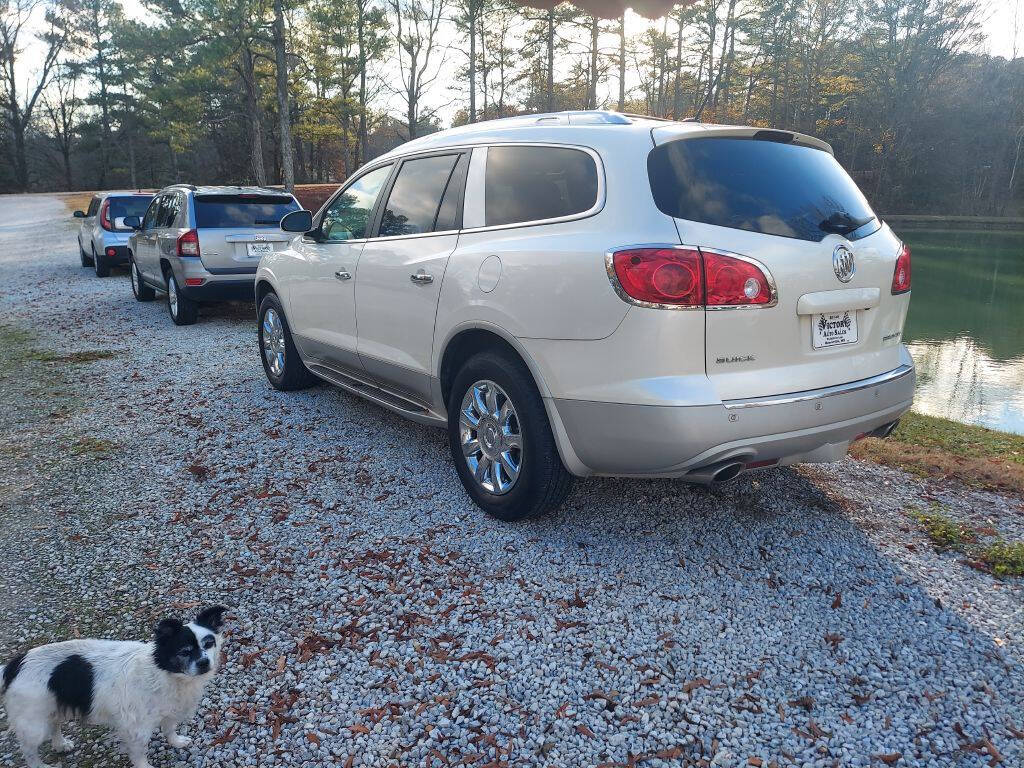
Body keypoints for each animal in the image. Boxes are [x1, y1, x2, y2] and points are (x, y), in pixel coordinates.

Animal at [0, 606, 228, 768]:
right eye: (185, 651)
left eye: (209, 644)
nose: (204, 663)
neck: (165, 674)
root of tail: (14, 665)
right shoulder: (136, 727)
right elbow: (139, 753)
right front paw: (146, 766)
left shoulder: (170, 711)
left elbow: (170, 729)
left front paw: (177, 742)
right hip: (34, 725)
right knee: (28, 750)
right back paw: (41, 765)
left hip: (54, 705)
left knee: (55, 724)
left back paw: (61, 745)